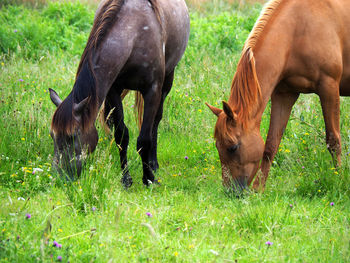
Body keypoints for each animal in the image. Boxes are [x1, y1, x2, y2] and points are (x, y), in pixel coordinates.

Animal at [49, 0, 189, 188]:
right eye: (52, 136)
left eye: (72, 136)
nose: (60, 178)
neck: (134, 35)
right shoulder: (113, 90)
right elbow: (121, 135)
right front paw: (126, 178)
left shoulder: (152, 90)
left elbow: (144, 139)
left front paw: (148, 178)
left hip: (167, 80)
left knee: (156, 121)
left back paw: (153, 163)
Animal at [206, 0, 350, 194]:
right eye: (217, 146)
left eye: (233, 147)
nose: (230, 191)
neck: (299, 28)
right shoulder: (284, 95)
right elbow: (270, 145)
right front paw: (259, 189)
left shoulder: (329, 86)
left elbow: (334, 141)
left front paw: (339, 178)